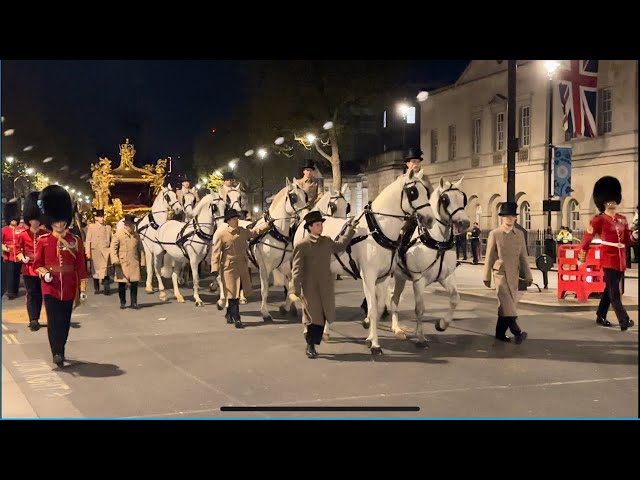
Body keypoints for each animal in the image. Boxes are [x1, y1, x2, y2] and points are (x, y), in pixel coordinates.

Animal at [292, 169, 432, 352]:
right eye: (413, 192)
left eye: (427, 191)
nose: (429, 219)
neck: (377, 230)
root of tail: (305, 220)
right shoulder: (368, 276)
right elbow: (371, 309)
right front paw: (376, 345)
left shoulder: (383, 277)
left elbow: (378, 308)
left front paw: (370, 337)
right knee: (305, 299)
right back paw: (306, 329)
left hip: (329, 272)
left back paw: (326, 332)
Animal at [388, 175, 472, 344]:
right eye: (445, 199)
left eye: (463, 198)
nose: (465, 223)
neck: (437, 242)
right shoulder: (418, 280)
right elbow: (420, 308)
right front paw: (420, 336)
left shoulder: (446, 277)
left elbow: (455, 298)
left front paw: (442, 324)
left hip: (400, 277)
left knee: (394, 299)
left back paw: (397, 329)